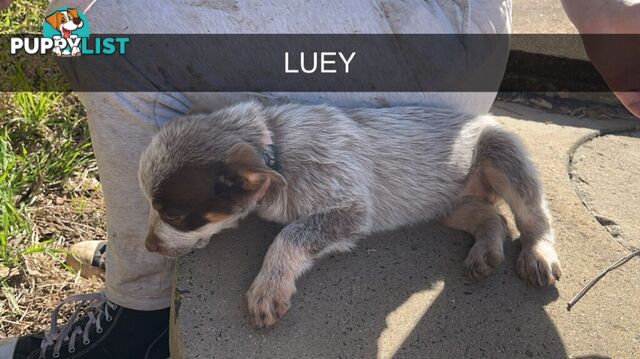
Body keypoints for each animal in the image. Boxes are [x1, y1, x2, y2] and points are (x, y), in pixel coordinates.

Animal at [139, 102, 560, 330]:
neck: (277, 149)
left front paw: (268, 287)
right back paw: (485, 251)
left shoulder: (352, 209)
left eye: (175, 214)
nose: (148, 246)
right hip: (450, 205)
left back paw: (538, 253)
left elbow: (289, 235)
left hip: (502, 153)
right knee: (494, 217)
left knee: (532, 216)